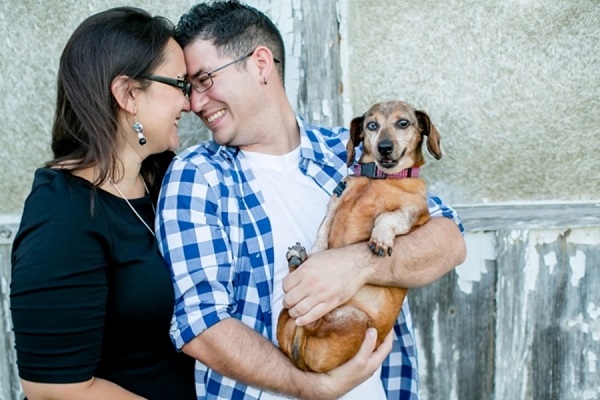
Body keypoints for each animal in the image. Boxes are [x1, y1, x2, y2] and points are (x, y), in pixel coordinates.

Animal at [276, 100, 443, 372]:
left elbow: (387, 217)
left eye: (403, 123)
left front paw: (381, 239)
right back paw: (298, 259)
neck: (377, 178)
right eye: (372, 125)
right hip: (289, 315)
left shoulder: (415, 214)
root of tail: (299, 357)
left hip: (356, 318)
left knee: (312, 320)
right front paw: (313, 253)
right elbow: (322, 234)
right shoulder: (333, 206)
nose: (384, 147)